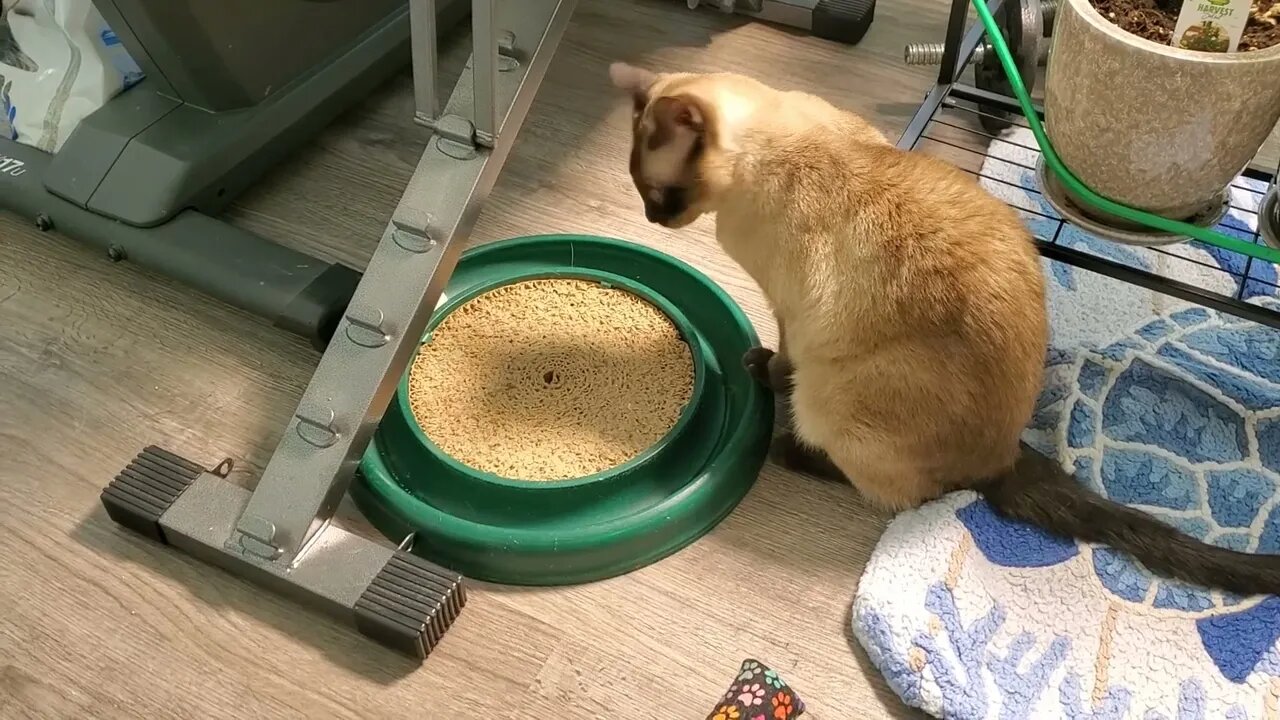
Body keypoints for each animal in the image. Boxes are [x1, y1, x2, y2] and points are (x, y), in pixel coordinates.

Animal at [606, 63, 1280, 594]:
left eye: (658, 193)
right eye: (641, 192)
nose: (651, 219)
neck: (776, 136)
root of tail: (1003, 454)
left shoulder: (790, 312)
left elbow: (783, 359)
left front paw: (761, 368)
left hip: (831, 399)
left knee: (898, 490)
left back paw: (790, 450)